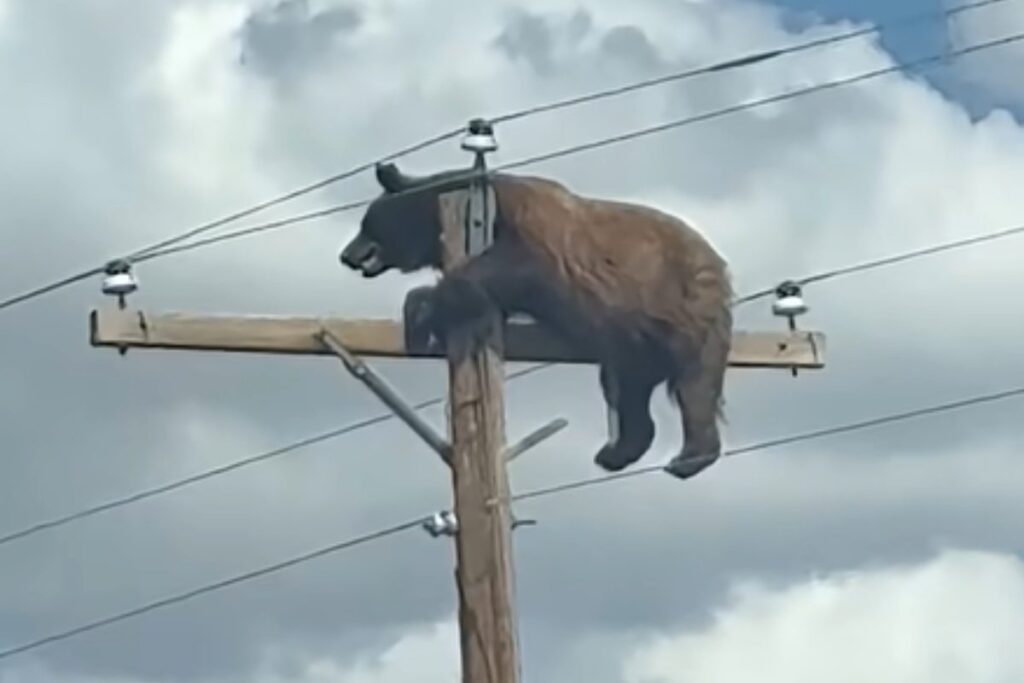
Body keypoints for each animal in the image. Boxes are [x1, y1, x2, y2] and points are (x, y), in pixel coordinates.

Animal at [339, 161, 733, 481]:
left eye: (365, 223)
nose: (346, 255)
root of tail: (718, 262)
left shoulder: (531, 233)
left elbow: (508, 268)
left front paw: (419, 310)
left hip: (682, 303)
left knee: (695, 381)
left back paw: (689, 457)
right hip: (632, 340)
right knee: (628, 390)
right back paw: (616, 452)